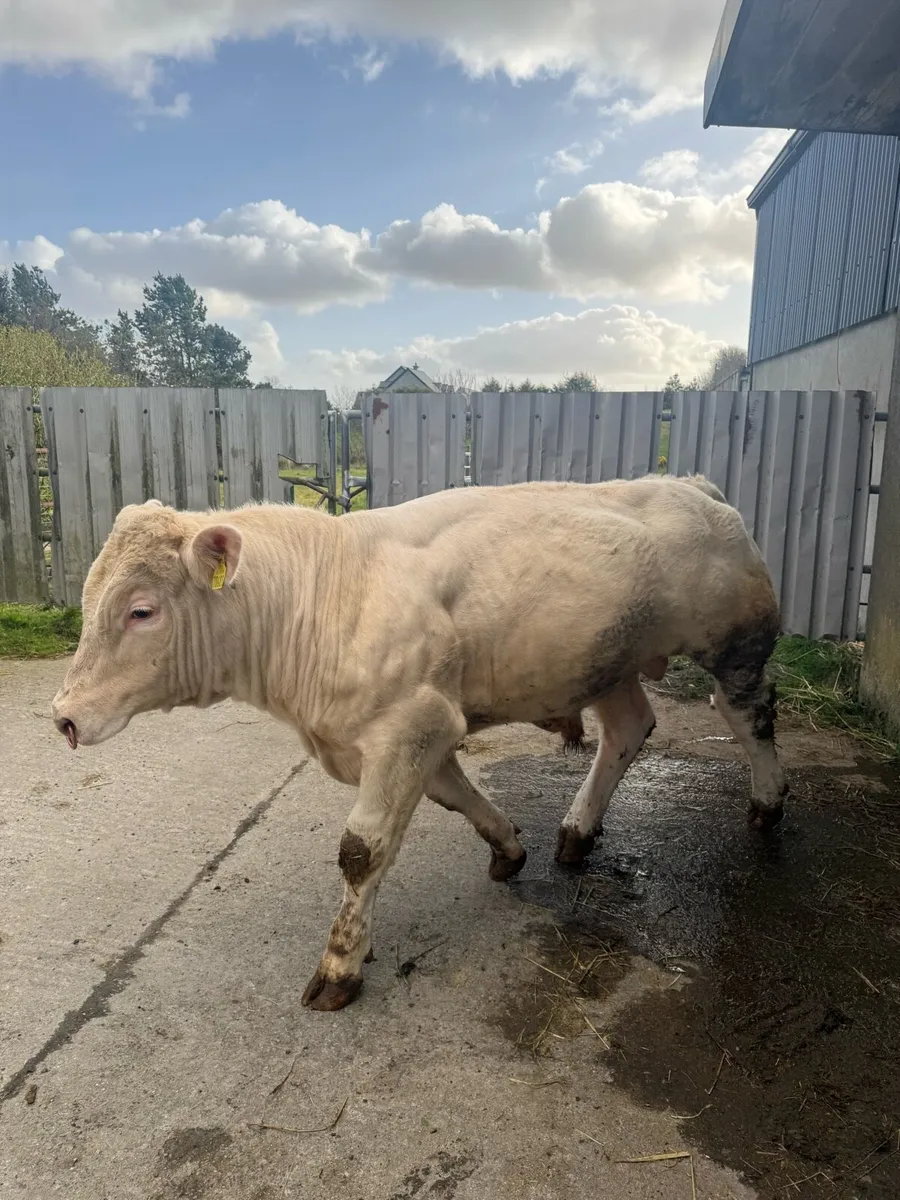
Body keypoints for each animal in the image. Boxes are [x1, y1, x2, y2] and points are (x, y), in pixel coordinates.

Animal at [51, 475, 788, 1012]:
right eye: (88, 601)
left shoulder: (413, 722)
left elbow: (361, 850)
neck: (324, 596)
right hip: (607, 662)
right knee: (628, 730)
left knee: (749, 715)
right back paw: (576, 831)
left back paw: (769, 802)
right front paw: (509, 845)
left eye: (141, 610)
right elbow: (457, 797)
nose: (63, 717)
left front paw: (341, 966)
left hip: (735, 646)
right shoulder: (418, 732)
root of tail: (692, 485)